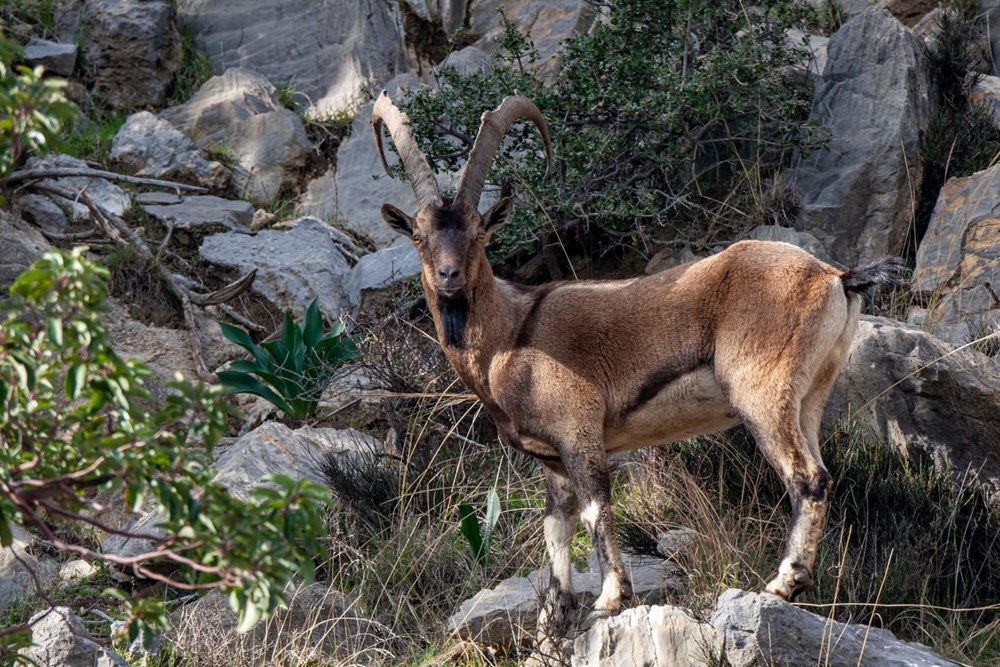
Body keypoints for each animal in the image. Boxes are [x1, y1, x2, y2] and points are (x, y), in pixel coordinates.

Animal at [372, 91, 904, 624]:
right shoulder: (552, 460)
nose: (449, 276)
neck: (508, 339)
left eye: (479, 231)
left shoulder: (579, 430)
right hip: (810, 395)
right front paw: (552, 621)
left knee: (808, 478)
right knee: (820, 469)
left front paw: (610, 598)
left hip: (762, 392)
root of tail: (836, 277)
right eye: (418, 235)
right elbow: (556, 529)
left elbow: (596, 510)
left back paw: (783, 582)